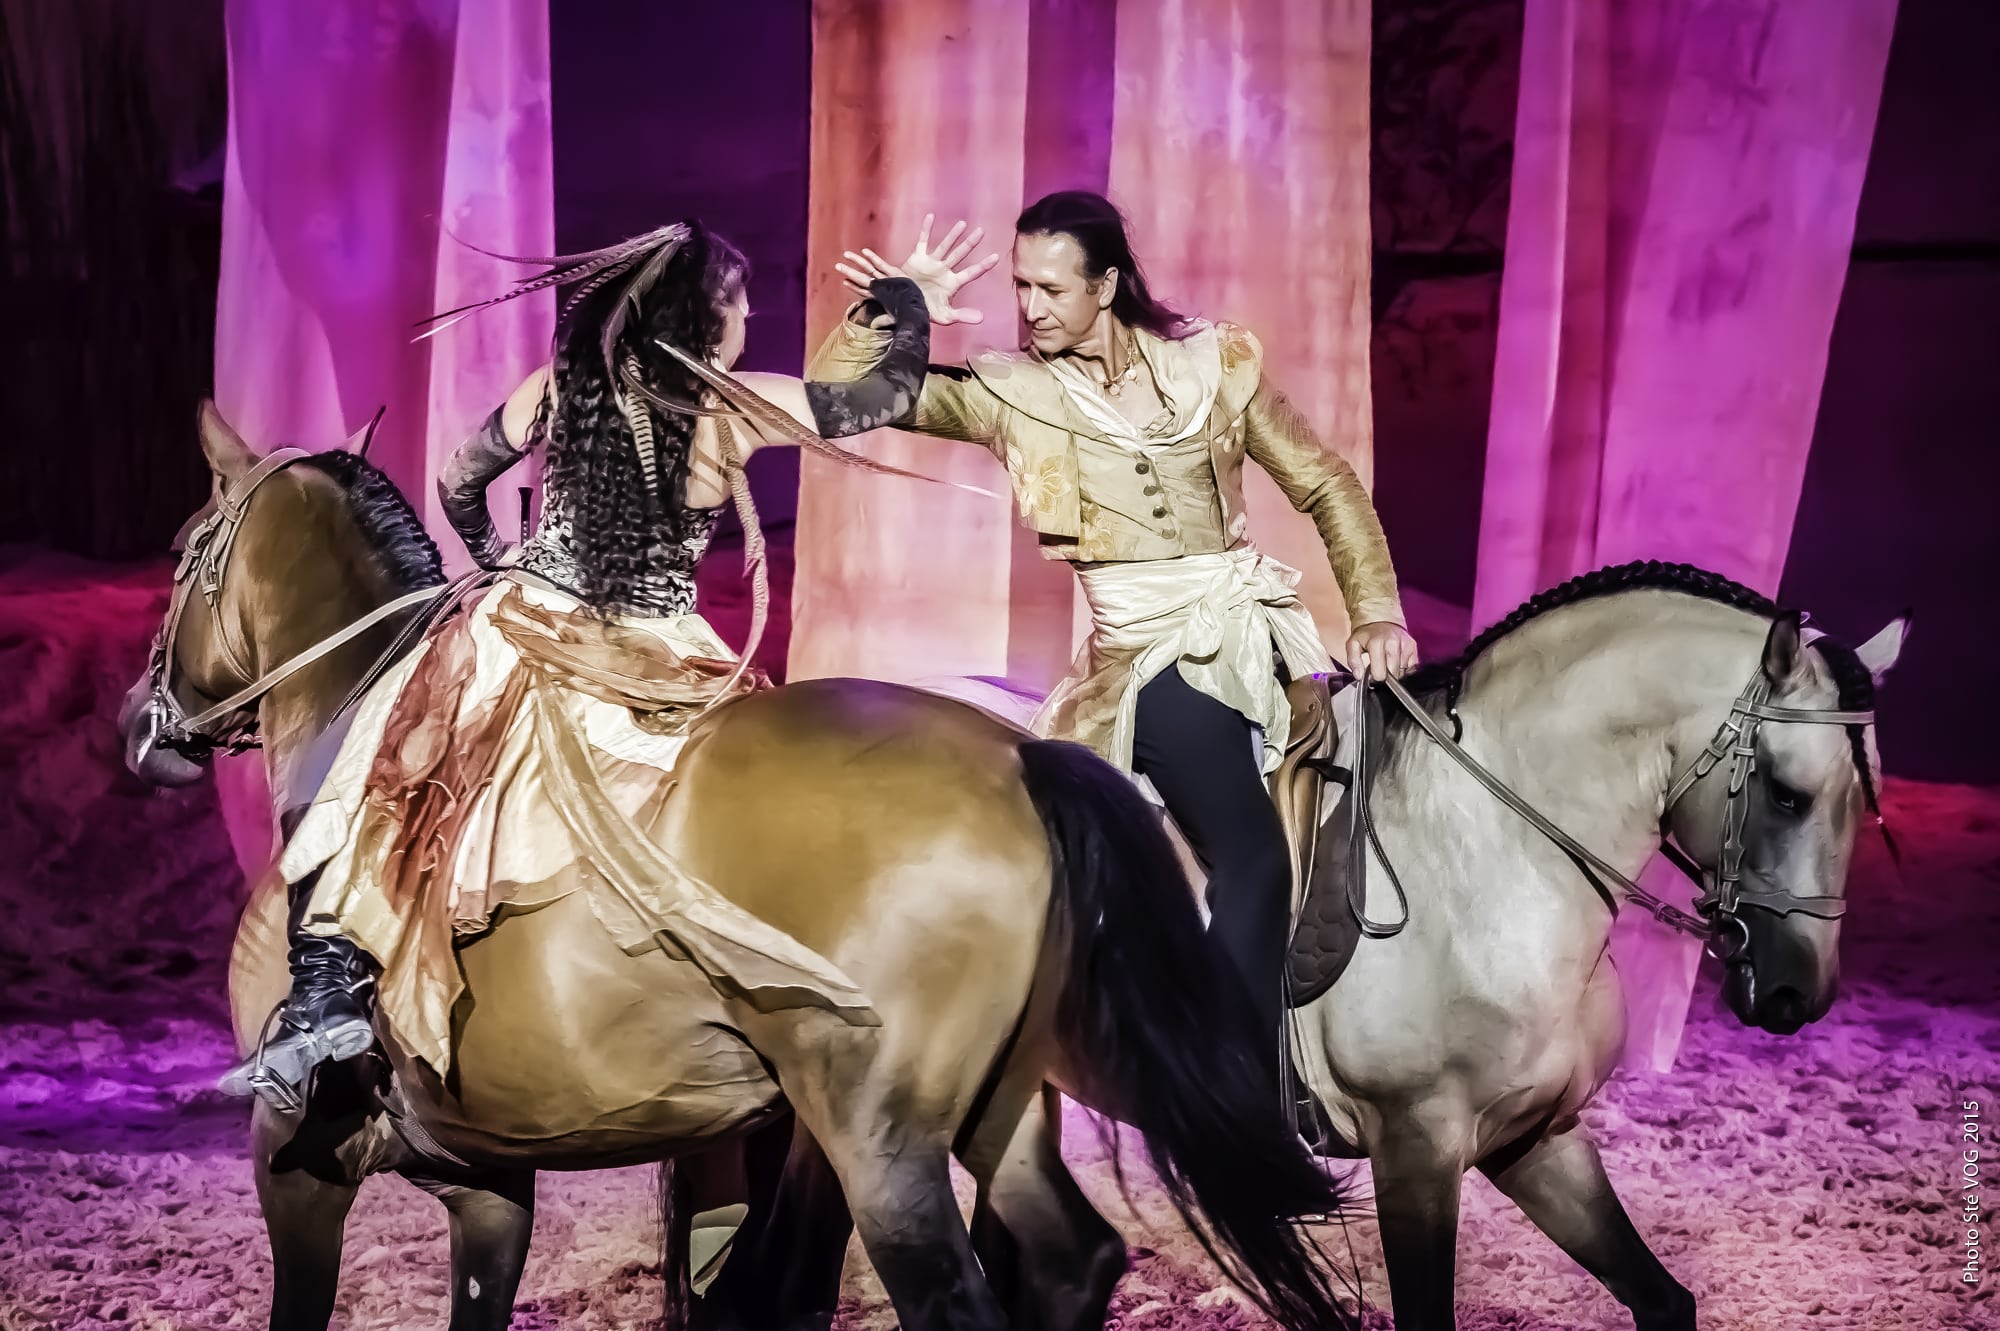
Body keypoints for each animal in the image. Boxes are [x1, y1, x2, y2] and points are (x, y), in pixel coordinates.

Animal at [125, 401, 1360, 1327]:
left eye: (184, 549)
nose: (146, 723)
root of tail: (1019, 759)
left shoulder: (298, 1158)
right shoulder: (489, 1181)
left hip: (882, 1142)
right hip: (995, 1108)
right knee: (1072, 1258)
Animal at [688, 563, 1904, 1327]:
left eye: (1866, 800)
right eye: (1788, 795)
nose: (1795, 993)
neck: (1488, 853)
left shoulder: (1534, 1140)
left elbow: (1662, 1298)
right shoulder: (1418, 1153)